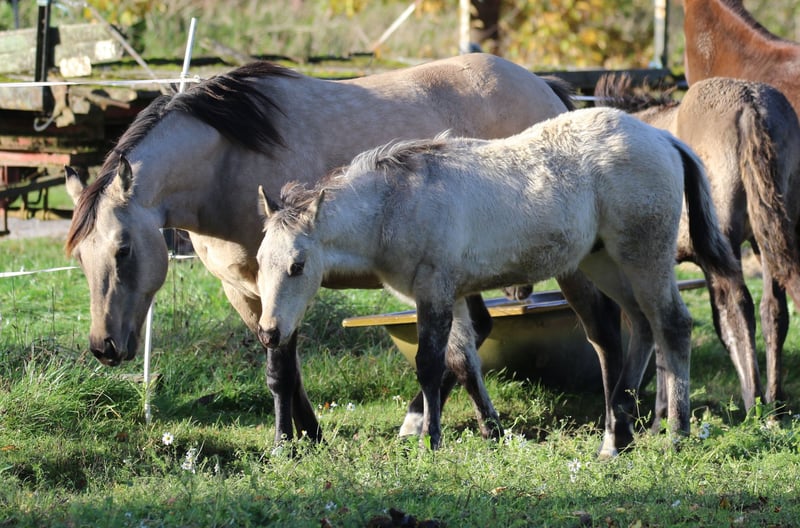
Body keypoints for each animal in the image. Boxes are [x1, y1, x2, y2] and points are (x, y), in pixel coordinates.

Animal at [62, 54, 575, 446]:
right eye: (82, 259)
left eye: (123, 250)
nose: (104, 347)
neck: (227, 161)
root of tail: (543, 85)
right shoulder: (244, 292)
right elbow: (284, 370)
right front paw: (308, 435)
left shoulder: (283, 284)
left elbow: (282, 371)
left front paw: (287, 443)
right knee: (472, 335)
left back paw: (420, 422)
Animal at [255, 107, 739, 453]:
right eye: (259, 262)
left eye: (298, 266)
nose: (269, 333)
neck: (396, 203)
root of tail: (663, 138)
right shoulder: (448, 295)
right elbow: (461, 361)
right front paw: (485, 432)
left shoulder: (434, 290)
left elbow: (430, 365)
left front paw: (430, 442)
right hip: (603, 261)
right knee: (640, 324)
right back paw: (618, 437)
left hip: (643, 254)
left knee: (671, 323)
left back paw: (674, 432)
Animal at [595, 73, 800, 409]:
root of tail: (751, 104)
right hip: (768, 235)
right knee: (774, 309)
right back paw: (775, 404)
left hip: (726, 243)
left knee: (738, 308)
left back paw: (754, 401)